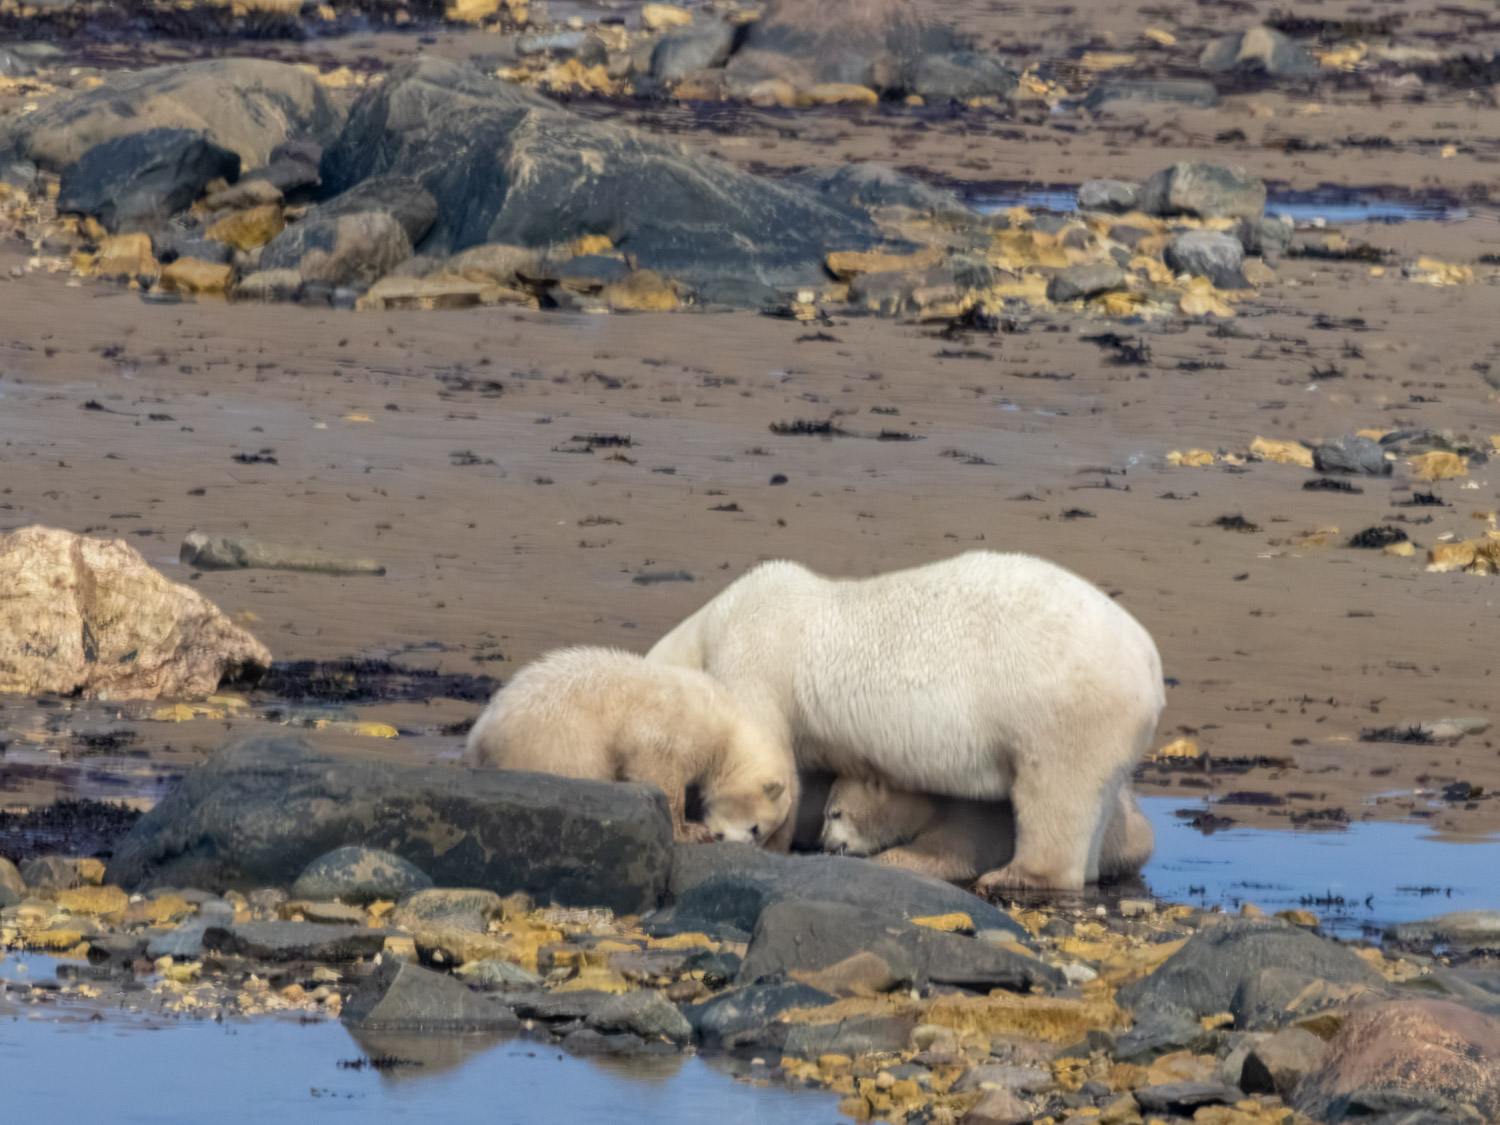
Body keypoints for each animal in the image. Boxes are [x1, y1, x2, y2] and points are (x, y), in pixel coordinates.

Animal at [464, 645, 794, 846]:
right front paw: (688, 830)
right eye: (756, 828)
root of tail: (483, 729)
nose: (736, 843)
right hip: (558, 734)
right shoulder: (668, 727)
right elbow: (661, 774)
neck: (726, 722)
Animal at [820, 776, 1155, 886]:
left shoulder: (966, 823)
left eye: (836, 813)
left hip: (1113, 834)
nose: (824, 843)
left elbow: (941, 859)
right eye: (826, 813)